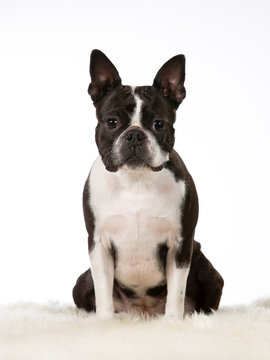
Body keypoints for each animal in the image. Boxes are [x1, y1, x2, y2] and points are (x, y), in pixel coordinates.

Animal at [72, 49, 224, 320]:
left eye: (159, 124)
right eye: (111, 122)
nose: (134, 134)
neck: (136, 181)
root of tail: (143, 312)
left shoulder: (180, 243)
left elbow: (176, 292)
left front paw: (173, 322)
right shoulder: (98, 243)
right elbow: (103, 291)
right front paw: (104, 322)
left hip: (209, 272)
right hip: (80, 283)